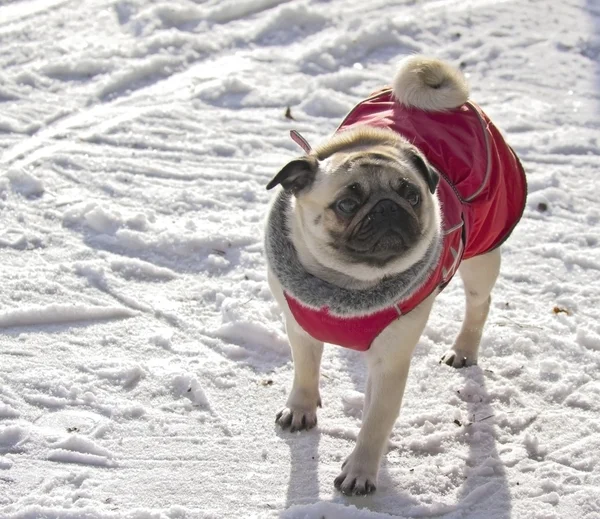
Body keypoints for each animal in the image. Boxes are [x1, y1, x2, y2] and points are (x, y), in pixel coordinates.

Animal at [264, 55, 528, 496]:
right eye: (347, 204)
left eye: (411, 194)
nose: (388, 208)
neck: (347, 285)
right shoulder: (299, 328)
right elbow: (305, 370)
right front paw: (301, 407)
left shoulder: (391, 359)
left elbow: (376, 420)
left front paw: (360, 471)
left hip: (482, 252)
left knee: (479, 302)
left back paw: (464, 348)